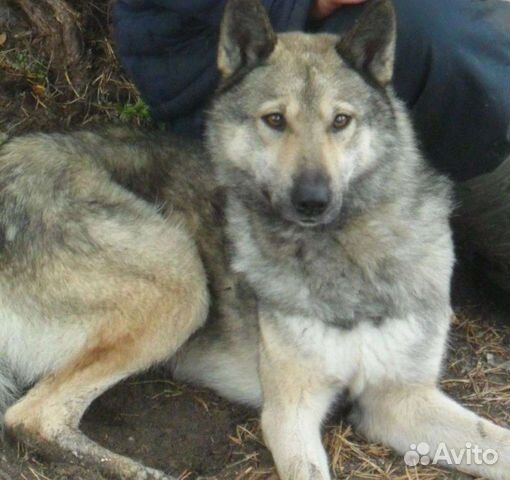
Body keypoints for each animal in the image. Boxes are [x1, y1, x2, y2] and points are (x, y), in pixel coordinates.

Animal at [0, 0, 510, 480]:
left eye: (340, 121)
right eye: (275, 120)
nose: (312, 200)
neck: (346, 256)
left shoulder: (400, 398)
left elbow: (497, 442)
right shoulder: (290, 413)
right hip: (181, 282)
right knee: (31, 417)